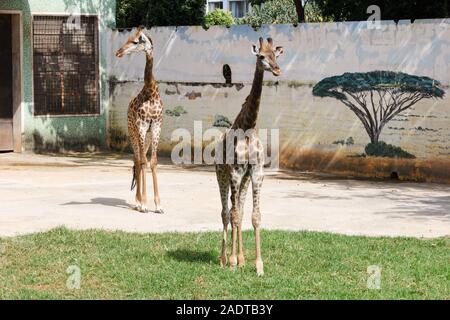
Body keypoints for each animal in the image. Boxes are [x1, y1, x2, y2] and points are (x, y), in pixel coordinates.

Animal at [115, 26, 164, 214]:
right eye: (128, 38)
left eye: (135, 41)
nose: (118, 52)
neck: (150, 92)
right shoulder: (142, 127)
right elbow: (143, 162)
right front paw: (143, 203)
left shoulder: (156, 127)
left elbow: (153, 162)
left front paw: (158, 205)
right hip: (133, 132)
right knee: (136, 159)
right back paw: (137, 202)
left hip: (147, 136)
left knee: (140, 160)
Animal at [215, 37, 284, 276]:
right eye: (261, 56)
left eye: (276, 55)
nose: (277, 70)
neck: (248, 125)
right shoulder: (235, 172)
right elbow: (233, 214)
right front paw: (232, 263)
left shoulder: (256, 172)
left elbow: (254, 216)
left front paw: (258, 265)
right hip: (222, 175)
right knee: (226, 213)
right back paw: (224, 259)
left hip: (243, 180)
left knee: (239, 210)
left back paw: (241, 258)